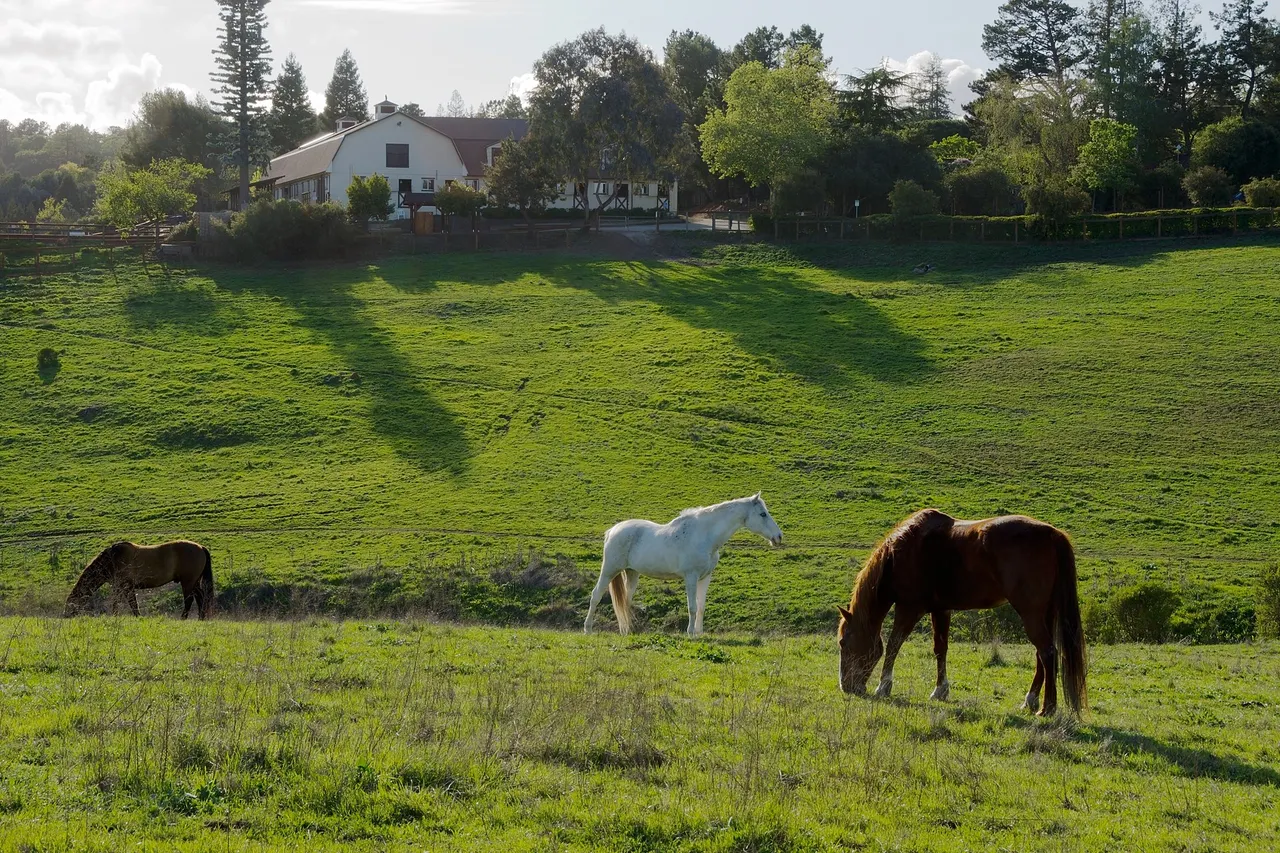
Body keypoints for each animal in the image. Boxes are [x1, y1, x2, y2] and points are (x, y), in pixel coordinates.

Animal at [64, 540, 215, 619]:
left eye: (70, 604)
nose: (65, 615)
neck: (113, 559)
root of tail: (201, 547)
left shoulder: (125, 586)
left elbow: (128, 603)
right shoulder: (122, 587)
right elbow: (124, 602)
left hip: (188, 582)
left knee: (189, 600)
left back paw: (183, 618)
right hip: (194, 582)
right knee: (200, 597)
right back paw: (201, 618)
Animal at [584, 493, 784, 637]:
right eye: (763, 514)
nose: (778, 537)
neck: (704, 536)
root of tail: (612, 530)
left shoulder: (705, 577)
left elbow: (701, 606)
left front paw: (699, 633)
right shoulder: (691, 577)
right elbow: (692, 607)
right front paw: (690, 633)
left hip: (632, 573)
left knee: (625, 601)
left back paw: (626, 631)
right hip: (609, 570)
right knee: (596, 595)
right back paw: (588, 629)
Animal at [836, 509, 1086, 717]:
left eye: (843, 642)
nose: (846, 687)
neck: (900, 554)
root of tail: (1052, 534)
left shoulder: (909, 608)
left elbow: (893, 645)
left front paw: (883, 686)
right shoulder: (941, 609)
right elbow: (940, 648)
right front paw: (940, 690)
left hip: (1030, 613)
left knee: (1047, 652)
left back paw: (1047, 708)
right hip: (1045, 613)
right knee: (1041, 655)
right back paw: (1030, 700)